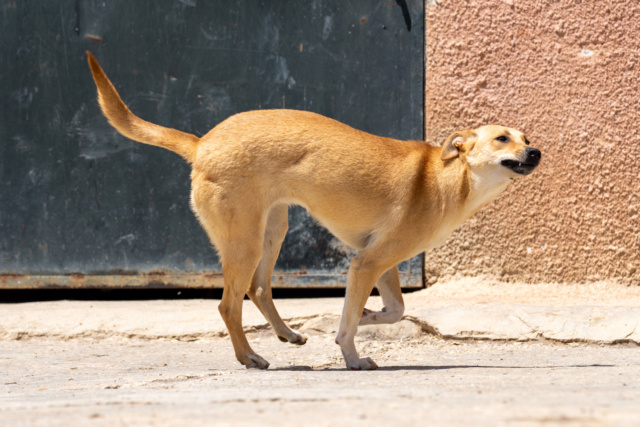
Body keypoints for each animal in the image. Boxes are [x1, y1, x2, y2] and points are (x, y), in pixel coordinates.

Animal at [87, 51, 544, 372]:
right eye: (502, 139)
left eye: (526, 137)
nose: (536, 152)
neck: (450, 178)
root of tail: (202, 144)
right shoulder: (366, 263)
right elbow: (352, 324)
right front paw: (353, 355)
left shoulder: (383, 263)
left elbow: (394, 311)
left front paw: (366, 317)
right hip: (244, 242)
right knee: (228, 304)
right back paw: (249, 357)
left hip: (272, 230)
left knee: (259, 289)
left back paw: (287, 335)